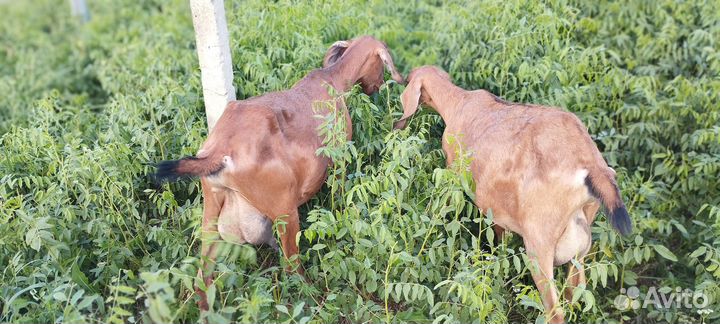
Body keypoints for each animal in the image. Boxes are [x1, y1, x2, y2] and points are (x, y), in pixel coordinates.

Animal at [155, 36, 402, 312]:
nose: (377, 87)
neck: (331, 79)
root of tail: (220, 151)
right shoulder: (339, 157)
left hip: (211, 214)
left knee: (202, 275)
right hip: (285, 212)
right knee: (291, 267)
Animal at [394, 65, 632, 322]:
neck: (459, 102)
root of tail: (593, 167)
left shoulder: (455, 174)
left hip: (539, 246)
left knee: (555, 310)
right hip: (579, 247)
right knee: (574, 291)